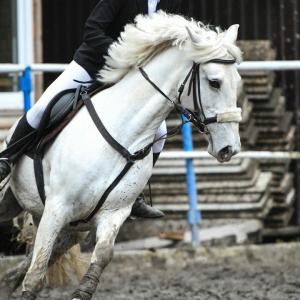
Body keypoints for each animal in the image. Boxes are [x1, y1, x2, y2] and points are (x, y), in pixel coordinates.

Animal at [0, 11, 243, 300]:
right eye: (214, 82)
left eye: (237, 82)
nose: (229, 149)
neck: (124, 130)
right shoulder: (57, 207)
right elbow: (36, 274)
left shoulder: (114, 212)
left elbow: (103, 254)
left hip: (71, 230)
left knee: (24, 267)